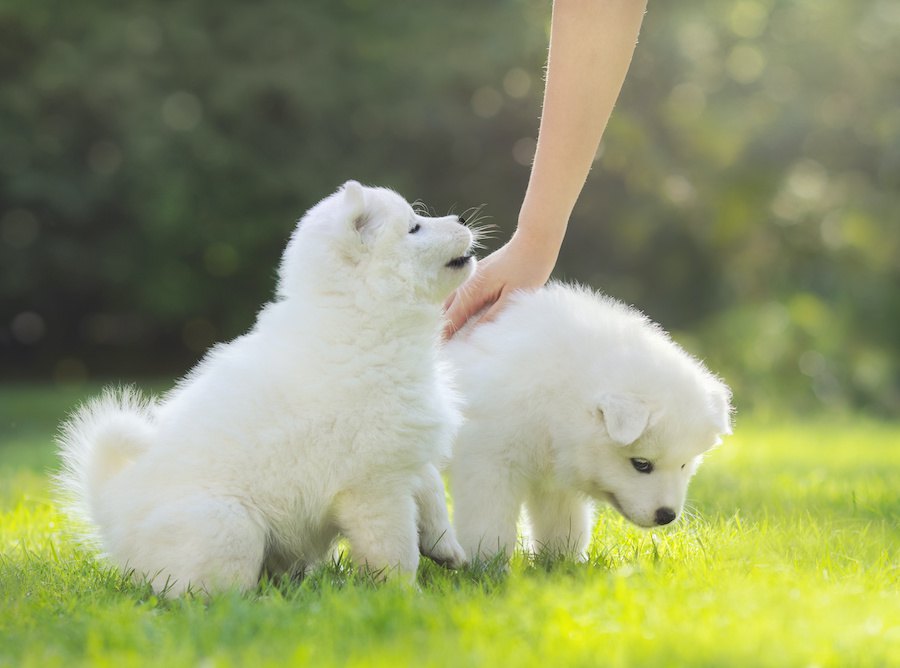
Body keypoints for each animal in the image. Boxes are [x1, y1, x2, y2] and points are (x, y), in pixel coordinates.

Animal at [59, 181, 474, 596]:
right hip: (231, 526)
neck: (363, 315)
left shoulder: (407, 450)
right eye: (414, 228)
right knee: (204, 590)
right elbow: (395, 550)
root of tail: (113, 515)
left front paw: (447, 549)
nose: (462, 219)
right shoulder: (374, 488)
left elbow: (432, 491)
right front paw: (408, 597)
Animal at [442, 284, 732, 564]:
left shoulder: (556, 473)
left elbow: (563, 523)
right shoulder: (489, 462)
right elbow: (489, 524)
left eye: (684, 464)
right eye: (641, 464)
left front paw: (563, 563)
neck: (559, 391)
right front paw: (486, 565)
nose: (667, 516)